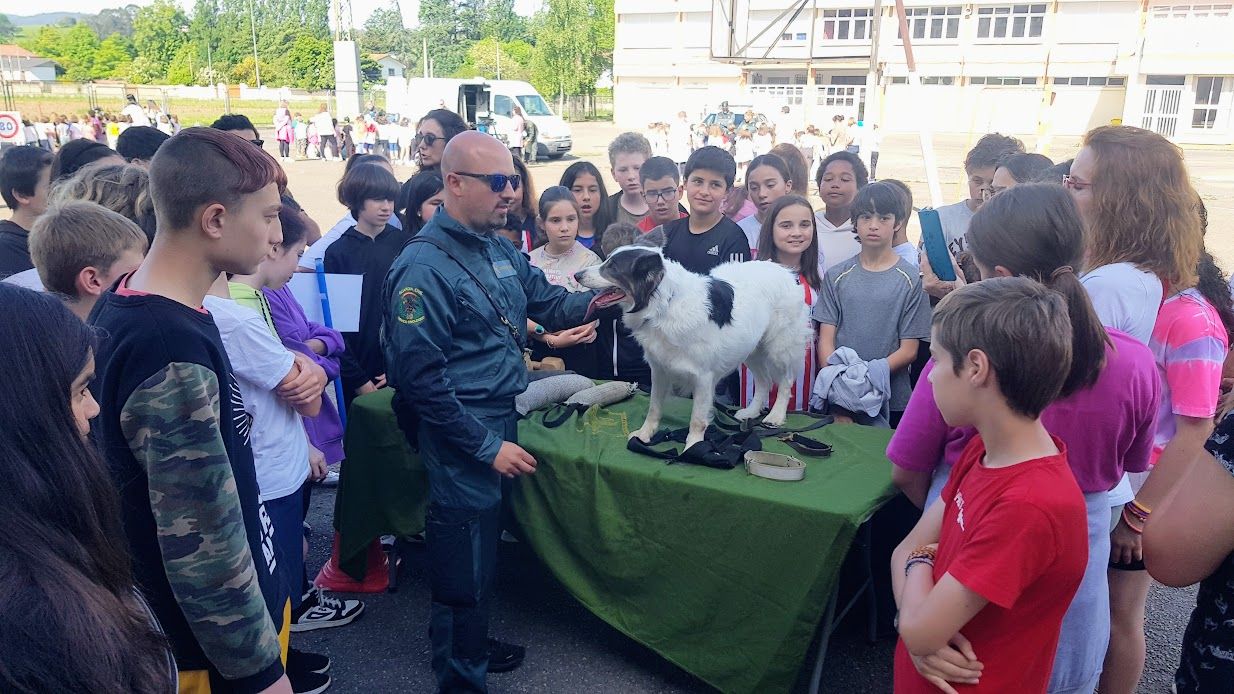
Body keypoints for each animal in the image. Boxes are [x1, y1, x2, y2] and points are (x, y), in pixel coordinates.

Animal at [575, 232, 809, 449]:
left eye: (612, 267)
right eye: (607, 261)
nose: (576, 275)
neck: (664, 305)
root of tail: (784, 271)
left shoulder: (703, 377)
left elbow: (697, 418)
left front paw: (693, 448)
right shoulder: (659, 370)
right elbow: (654, 408)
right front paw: (644, 435)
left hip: (780, 347)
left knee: (786, 381)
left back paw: (776, 416)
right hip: (751, 348)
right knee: (763, 380)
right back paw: (751, 412)